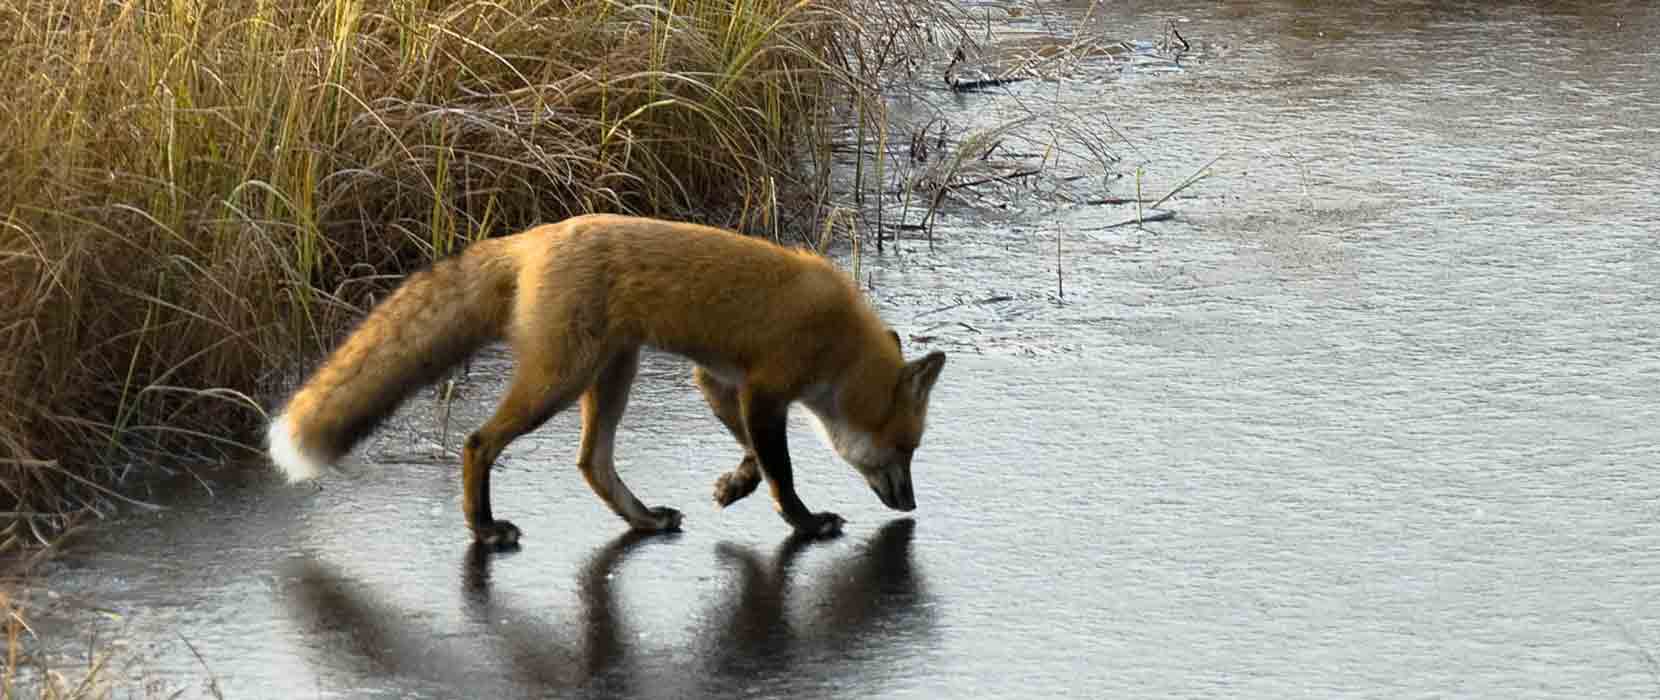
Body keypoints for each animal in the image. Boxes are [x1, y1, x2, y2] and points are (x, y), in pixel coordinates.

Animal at [266, 213, 947, 549]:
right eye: (907, 449)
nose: (914, 506)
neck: (837, 340)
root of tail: (531, 238)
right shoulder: (765, 389)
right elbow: (782, 472)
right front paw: (803, 523)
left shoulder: (720, 381)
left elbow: (754, 457)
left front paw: (733, 486)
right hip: (561, 380)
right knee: (478, 443)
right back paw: (484, 528)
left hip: (615, 371)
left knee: (592, 463)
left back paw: (642, 520)